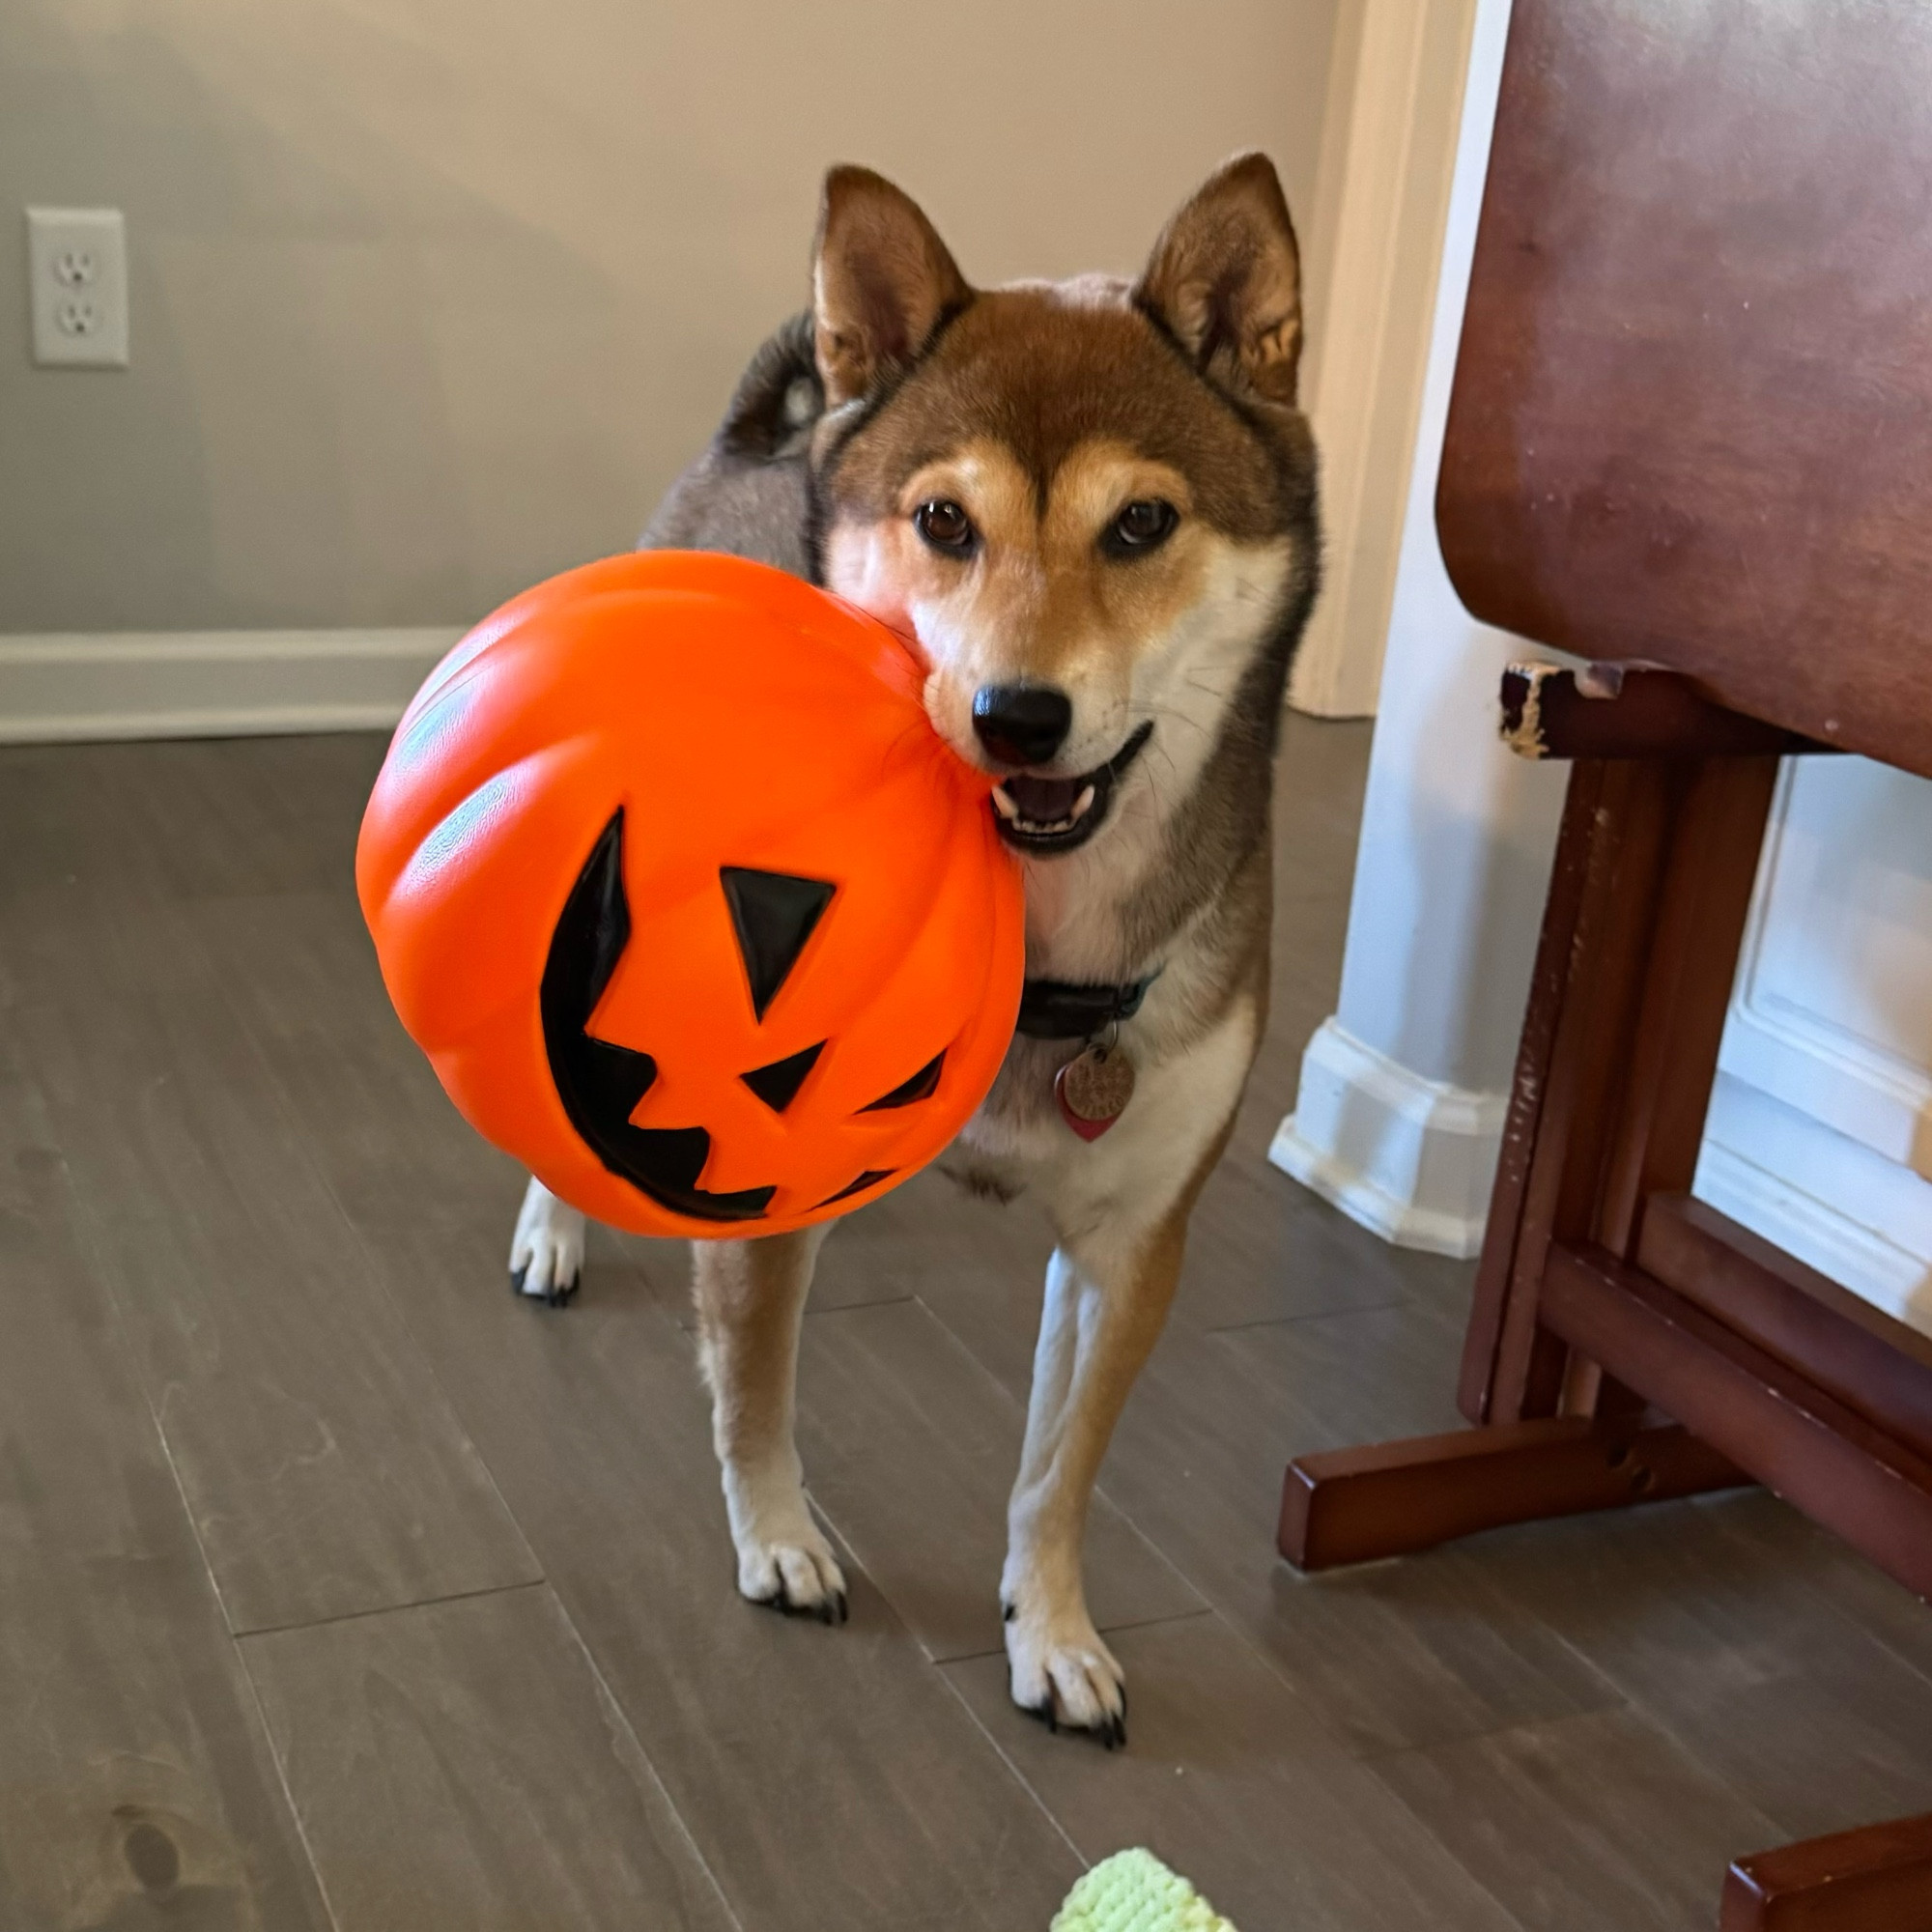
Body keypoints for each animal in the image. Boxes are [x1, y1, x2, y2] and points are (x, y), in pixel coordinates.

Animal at [506, 158, 1321, 1747]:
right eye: (944, 520)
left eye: (1142, 524)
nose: (1017, 714)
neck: (1037, 935)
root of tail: (761, 445)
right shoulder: (766, 1182)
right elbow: (753, 1390)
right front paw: (779, 1540)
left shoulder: (1133, 1243)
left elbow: (1057, 1476)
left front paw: (1052, 1632)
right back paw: (554, 1230)